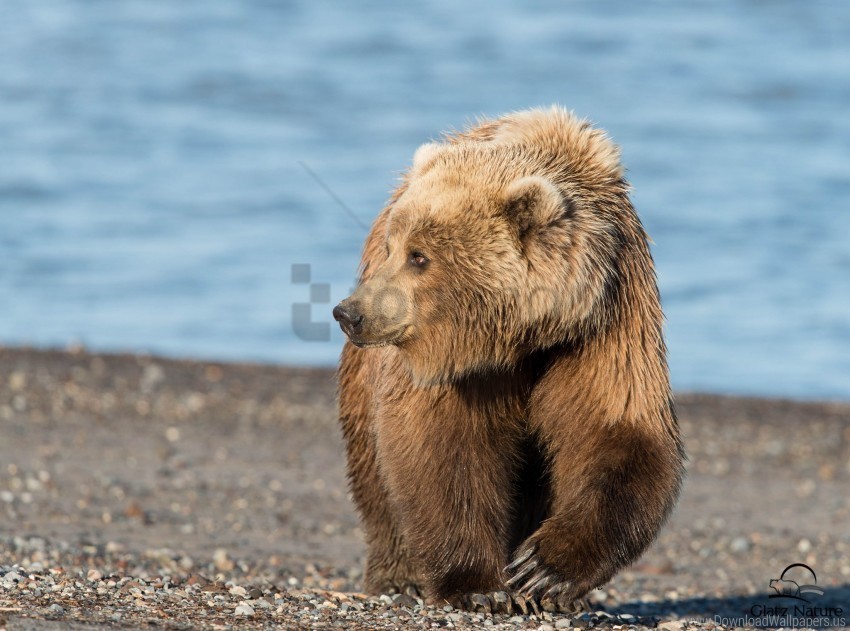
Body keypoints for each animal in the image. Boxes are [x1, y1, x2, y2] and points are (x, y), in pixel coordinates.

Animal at [330, 106, 684, 616]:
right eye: (394, 249)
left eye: (419, 257)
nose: (350, 312)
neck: (525, 333)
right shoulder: (461, 367)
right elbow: (444, 445)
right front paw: (479, 586)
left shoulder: (604, 324)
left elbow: (617, 430)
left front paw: (544, 569)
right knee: (373, 470)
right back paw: (400, 577)